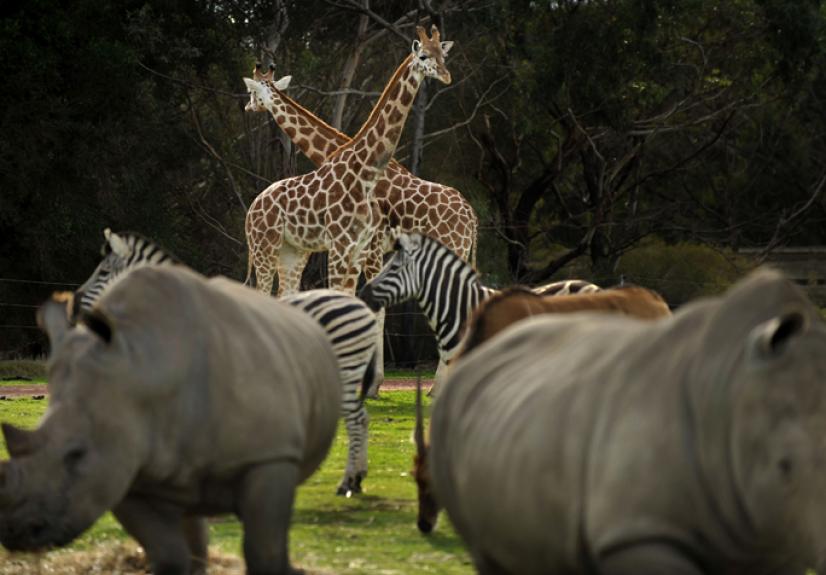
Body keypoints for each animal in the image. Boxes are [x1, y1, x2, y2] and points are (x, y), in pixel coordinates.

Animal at [74, 228, 376, 496]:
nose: (77, 305)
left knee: (356, 418)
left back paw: (347, 482)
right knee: (362, 417)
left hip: (345, 370)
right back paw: (358, 478)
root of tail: (364, 309)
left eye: (103, 273)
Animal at [241, 24, 454, 300]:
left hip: (290, 251)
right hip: (267, 247)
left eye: (443, 55)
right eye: (424, 56)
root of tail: (252, 208)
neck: (366, 171)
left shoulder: (361, 247)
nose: (446, 75)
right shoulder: (342, 245)